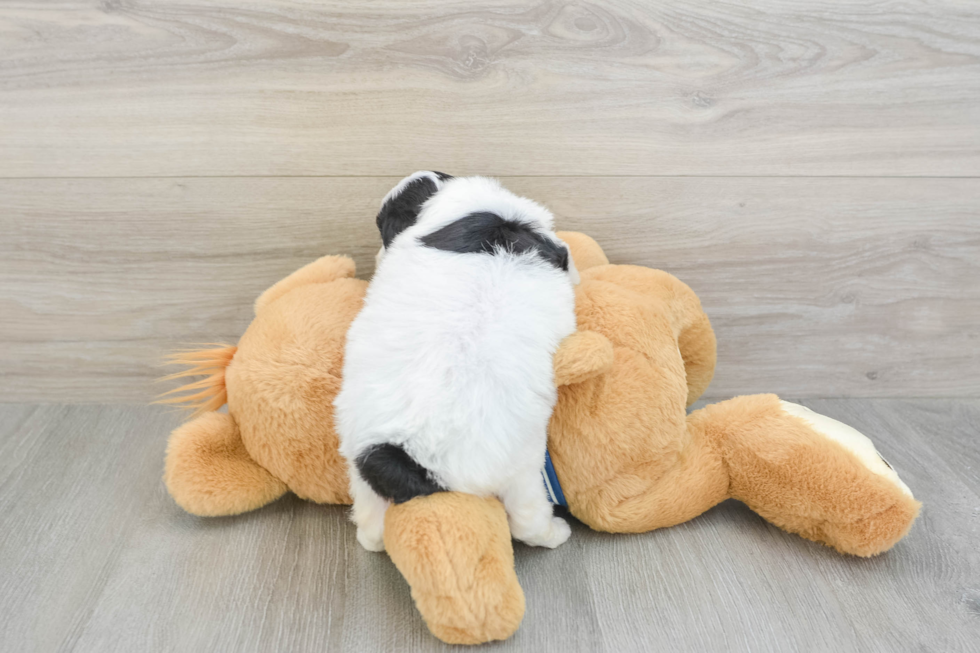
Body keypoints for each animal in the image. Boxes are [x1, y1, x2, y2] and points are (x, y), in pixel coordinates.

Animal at [336, 172, 580, 552]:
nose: (378, 255)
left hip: (361, 459)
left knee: (371, 520)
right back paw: (554, 533)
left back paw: (371, 537)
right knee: (527, 520)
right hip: (522, 466)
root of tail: (415, 454)